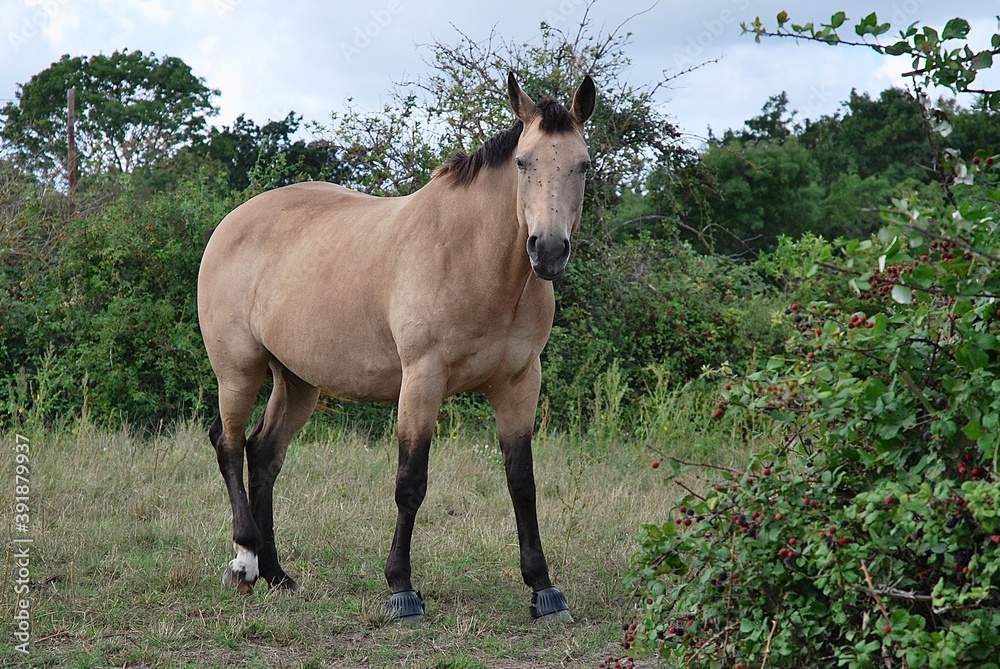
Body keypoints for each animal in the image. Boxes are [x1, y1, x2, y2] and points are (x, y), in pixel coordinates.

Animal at [197, 72, 595, 622]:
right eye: (523, 162)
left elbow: (522, 483)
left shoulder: (519, 383)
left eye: (583, 164)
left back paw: (277, 574)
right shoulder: (422, 379)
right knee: (230, 446)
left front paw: (543, 589)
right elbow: (411, 482)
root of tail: (231, 223)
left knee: (264, 455)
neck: (473, 257)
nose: (549, 250)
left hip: (297, 381)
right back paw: (243, 563)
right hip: (238, 370)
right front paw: (402, 591)